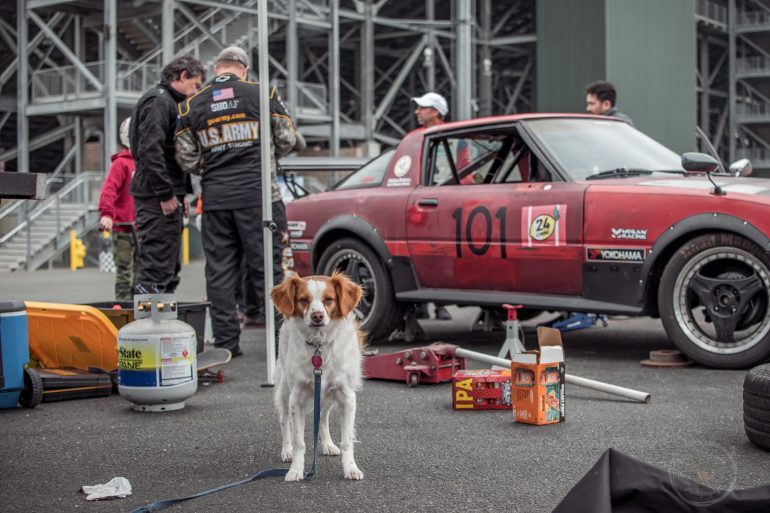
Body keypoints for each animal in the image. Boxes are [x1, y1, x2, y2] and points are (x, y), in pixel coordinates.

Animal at [270, 272, 366, 480]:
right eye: (303, 300)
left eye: (328, 299)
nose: (317, 316)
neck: (319, 344)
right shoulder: (296, 398)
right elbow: (299, 441)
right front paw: (296, 470)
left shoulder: (346, 396)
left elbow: (347, 441)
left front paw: (351, 468)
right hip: (284, 391)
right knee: (284, 421)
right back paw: (287, 450)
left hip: (325, 395)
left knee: (322, 417)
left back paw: (328, 445)